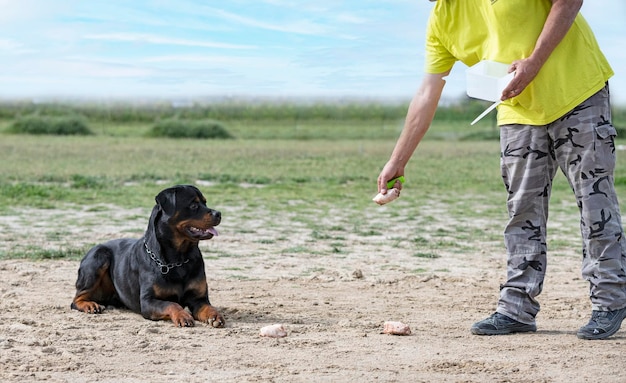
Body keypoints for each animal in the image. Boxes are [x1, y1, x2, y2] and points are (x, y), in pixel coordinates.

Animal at [70, 184, 224, 328]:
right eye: (193, 205)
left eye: (205, 202)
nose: (219, 213)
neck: (179, 258)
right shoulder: (148, 301)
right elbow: (172, 304)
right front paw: (183, 315)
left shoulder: (198, 299)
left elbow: (207, 306)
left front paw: (215, 315)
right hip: (99, 257)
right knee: (75, 300)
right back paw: (90, 305)